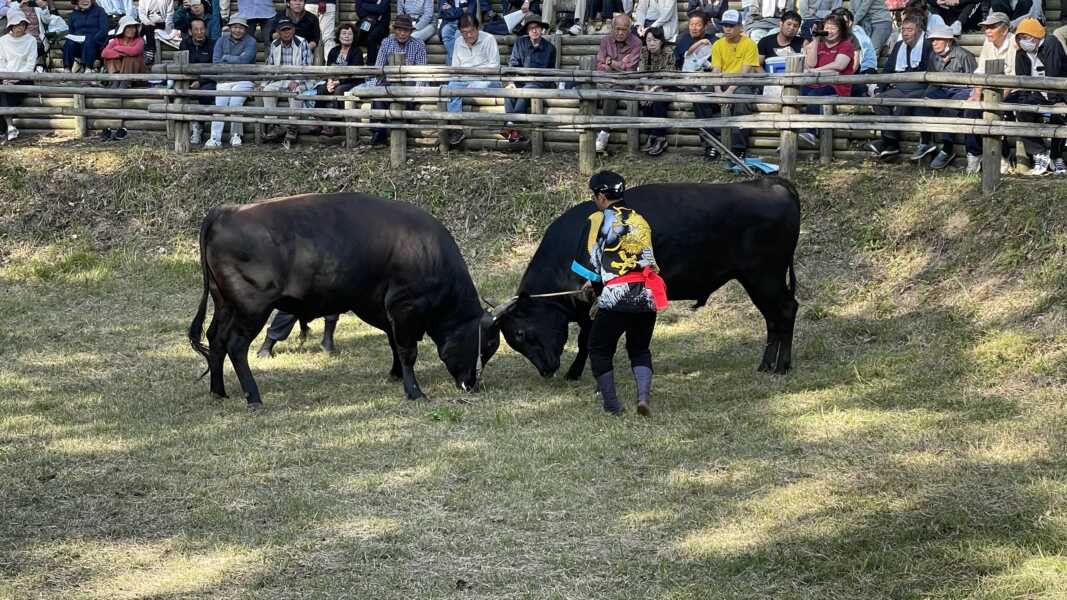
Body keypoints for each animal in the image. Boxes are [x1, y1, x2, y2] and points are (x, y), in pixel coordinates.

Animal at [190, 191, 499, 405]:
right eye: (487, 345)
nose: (472, 384)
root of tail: (227, 211)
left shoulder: (382, 308)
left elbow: (393, 343)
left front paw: (395, 374)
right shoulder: (405, 307)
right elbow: (407, 351)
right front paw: (414, 391)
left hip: (225, 304)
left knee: (216, 339)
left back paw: (219, 391)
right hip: (251, 308)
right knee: (236, 346)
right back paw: (253, 396)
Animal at [490, 175, 802, 377]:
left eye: (520, 333)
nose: (546, 370)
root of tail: (770, 183)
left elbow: (586, 339)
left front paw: (575, 372)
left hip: (765, 277)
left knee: (785, 311)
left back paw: (781, 367)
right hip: (758, 280)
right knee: (773, 319)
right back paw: (767, 365)